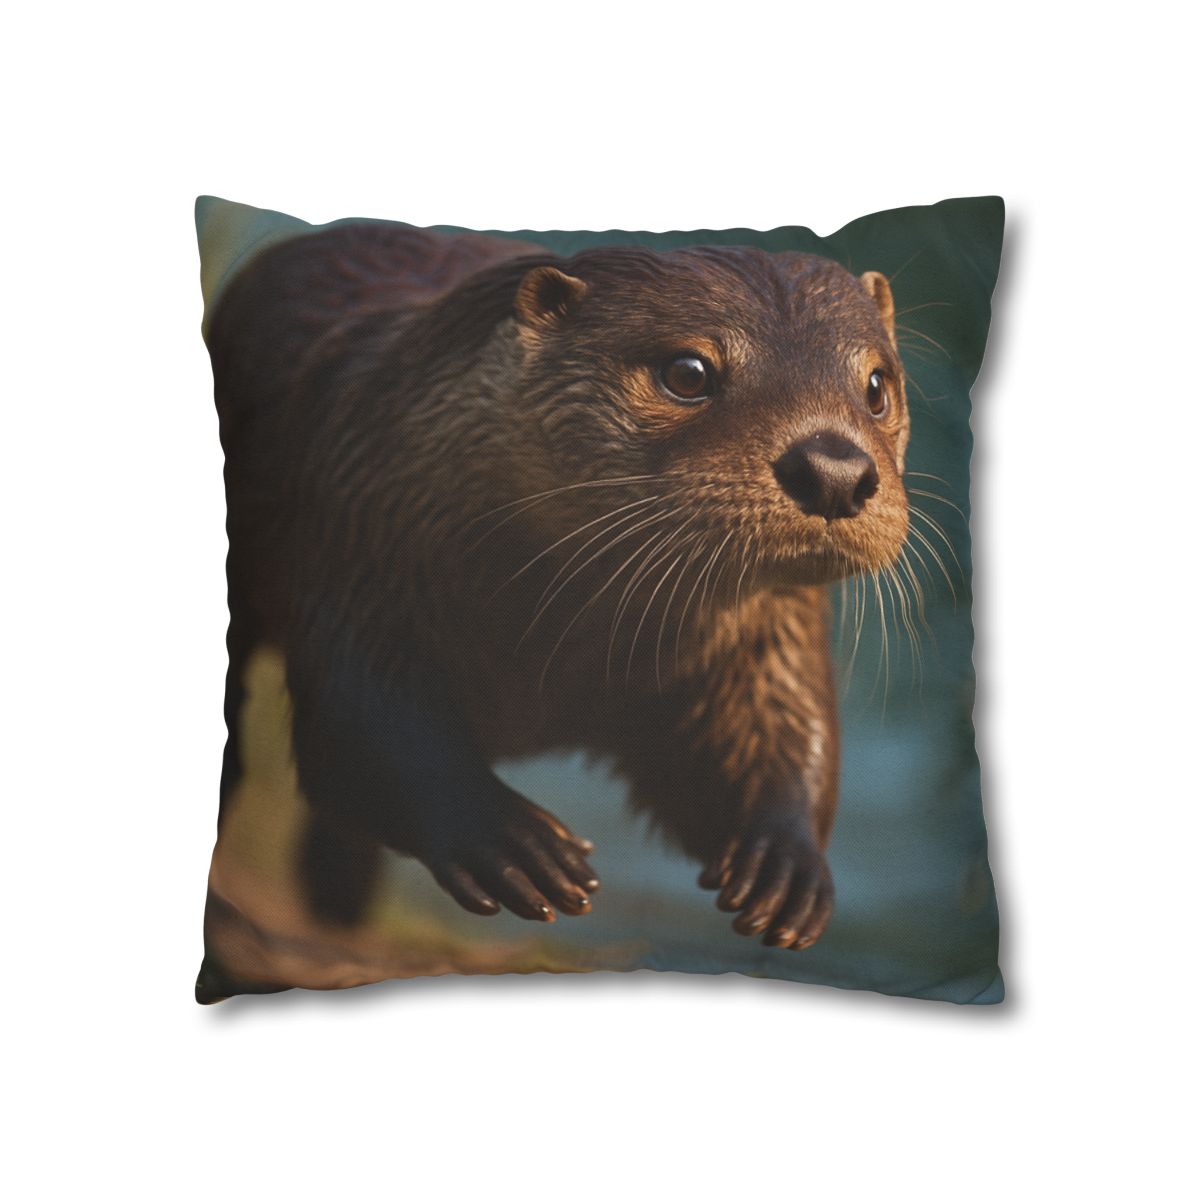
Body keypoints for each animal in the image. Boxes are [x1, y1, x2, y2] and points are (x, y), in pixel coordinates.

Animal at [206, 222, 910, 952]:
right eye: (689, 373)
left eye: (876, 385)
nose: (834, 470)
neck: (554, 642)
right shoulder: (360, 541)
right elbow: (365, 730)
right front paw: (509, 841)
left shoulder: (769, 636)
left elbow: (775, 731)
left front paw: (786, 865)